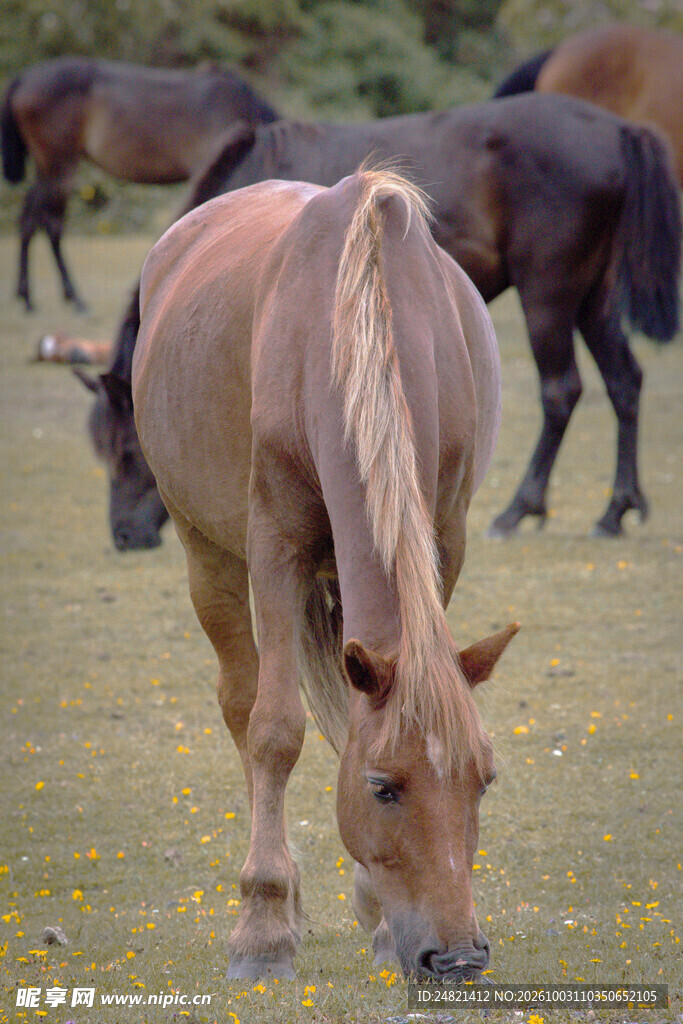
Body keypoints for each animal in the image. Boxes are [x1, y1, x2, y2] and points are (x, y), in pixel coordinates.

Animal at [1, 56, 278, 311]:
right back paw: (60, 298)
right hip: (59, 167)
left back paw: (30, 294)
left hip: (46, 167)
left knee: (31, 217)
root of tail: (23, 78)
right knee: (46, 222)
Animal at [79, 92, 680, 550]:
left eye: (128, 453)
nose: (123, 536)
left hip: (549, 296)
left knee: (562, 391)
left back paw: (519, 510)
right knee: (625, 383)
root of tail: (619, 130)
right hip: (592, 299)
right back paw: (615, 510)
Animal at [132, 167, 519, 980]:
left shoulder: (442, 541)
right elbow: (275, 731)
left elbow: (352, 720)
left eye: (484, 778)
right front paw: (263, 930)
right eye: (384, 789)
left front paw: (379, 919)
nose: (457, 958)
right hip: (206, 553)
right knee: (240, 702)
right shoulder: (276, 548)